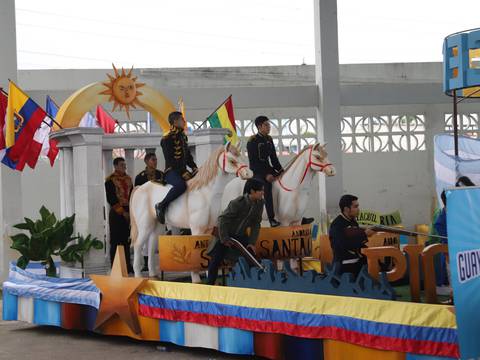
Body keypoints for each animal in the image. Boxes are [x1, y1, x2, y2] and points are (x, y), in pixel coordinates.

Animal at [129, 142, 253, 278]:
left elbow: (207, 251)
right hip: (145, 225)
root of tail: (139, 188)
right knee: (138, 245)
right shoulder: (197, 229)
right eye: (232, 160)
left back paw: (153, 274)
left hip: (157, 226)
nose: (249, 174)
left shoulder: (210, 229)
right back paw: (138, 275)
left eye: (242, 156)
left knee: (151, 246)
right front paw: (196, 277)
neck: (206, 193)